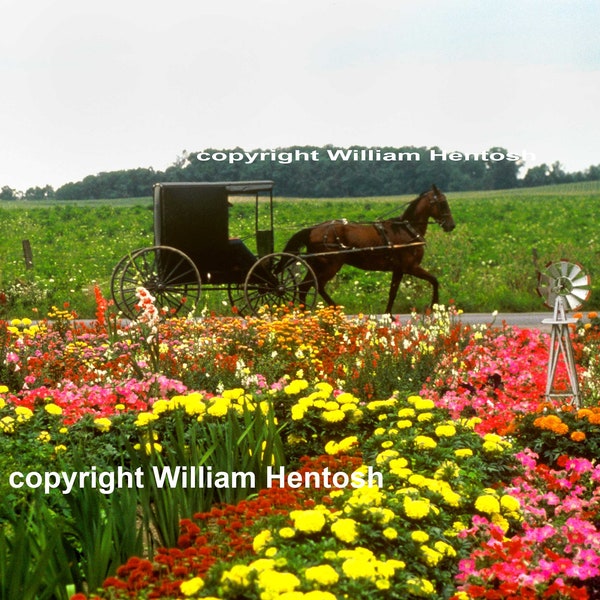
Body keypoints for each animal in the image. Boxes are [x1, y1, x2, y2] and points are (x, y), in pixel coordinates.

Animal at [282, 184, 454, 314]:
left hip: (317, 264)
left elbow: (393, 292)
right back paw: (329, 310)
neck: (406, 230)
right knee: (316, 286)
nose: (451, 225)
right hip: (330, 265)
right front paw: (434, 307)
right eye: (442, 203)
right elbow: (434, 280)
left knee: (306, 286)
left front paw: (388, 315)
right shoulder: (410, 267)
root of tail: (313, 230)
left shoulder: (399, 269)